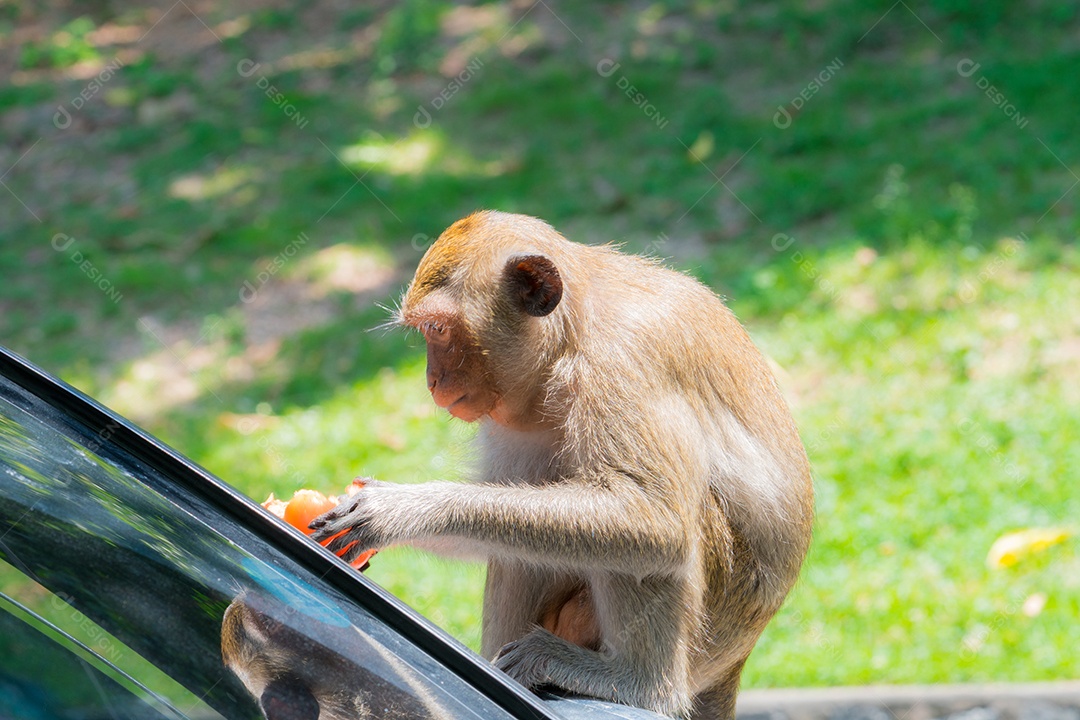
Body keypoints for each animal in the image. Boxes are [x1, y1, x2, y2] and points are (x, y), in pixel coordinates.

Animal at [308, 211, 812, 716]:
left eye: (437, 328)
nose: (432, 380)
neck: (571, 336)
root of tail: (736, 660)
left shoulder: (622, 362)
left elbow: (654, 519)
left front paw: (405, 510)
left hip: (719, 621)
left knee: (656, 538)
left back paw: (636, 682)